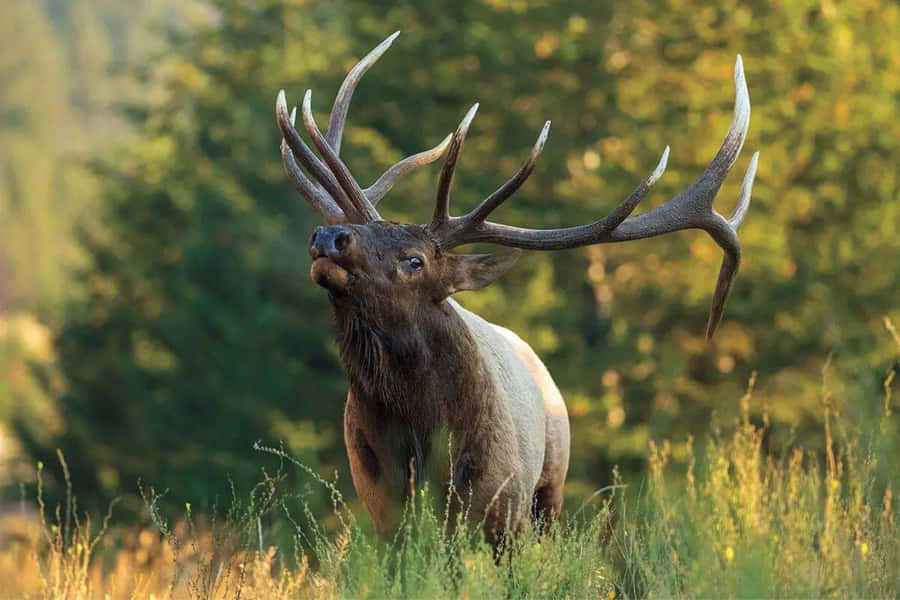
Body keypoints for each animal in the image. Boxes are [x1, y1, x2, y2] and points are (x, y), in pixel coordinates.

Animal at [274, 32, 758, 544]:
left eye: (415, 259)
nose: (330, 236)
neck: (424, 441)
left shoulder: (502, 509)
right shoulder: (382, 510)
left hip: (550, 484)